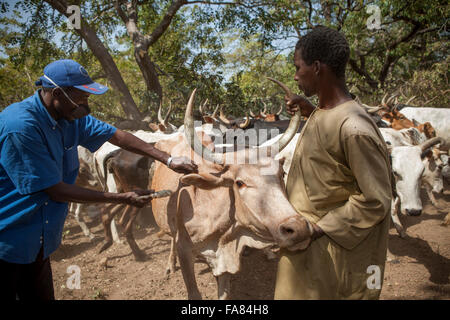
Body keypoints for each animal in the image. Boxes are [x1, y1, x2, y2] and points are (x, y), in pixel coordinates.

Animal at [151, 86, 312, 298]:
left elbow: (224, 292)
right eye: (239, 183)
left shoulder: (224, 262)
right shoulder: (184, 251)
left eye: (281, 173)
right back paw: (170, 264)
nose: (299, 228)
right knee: (171, 236)